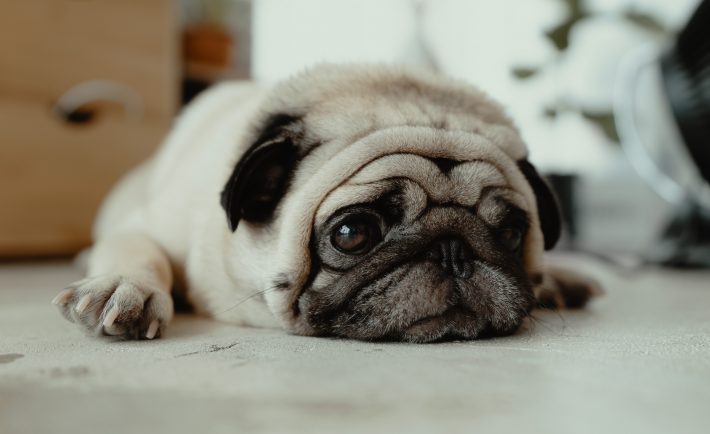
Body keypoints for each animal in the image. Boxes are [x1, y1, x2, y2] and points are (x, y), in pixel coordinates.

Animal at [52, 63, 604, 342]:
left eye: (510, 232)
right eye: (352, 233)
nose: (453, 250)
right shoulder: (146, 227)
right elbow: (138, 250)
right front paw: (126, 287)